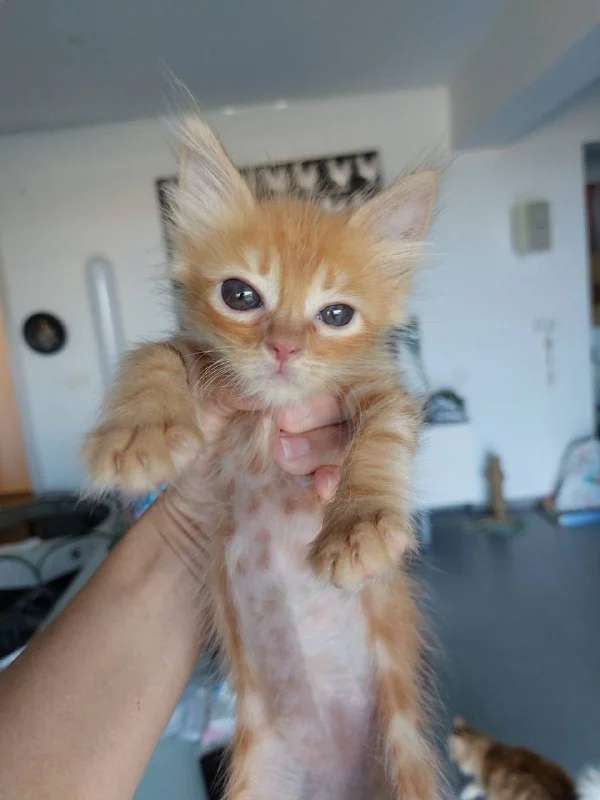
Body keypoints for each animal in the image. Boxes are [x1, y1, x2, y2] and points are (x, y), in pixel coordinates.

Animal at [83, 116, 439, 800]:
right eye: (240, 295)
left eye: (335, 314)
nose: (283, 348)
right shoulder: (200, 366)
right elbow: (154, 355)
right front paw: (140, 435)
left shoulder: (381, 392)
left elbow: (381, 436)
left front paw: (358, 525)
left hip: (405, 759)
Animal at [449, 716, 600, 800]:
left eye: (452, 753)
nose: (454, 762)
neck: (489, 751)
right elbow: (475, 785)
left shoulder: (491, 787)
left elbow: (475, 785)